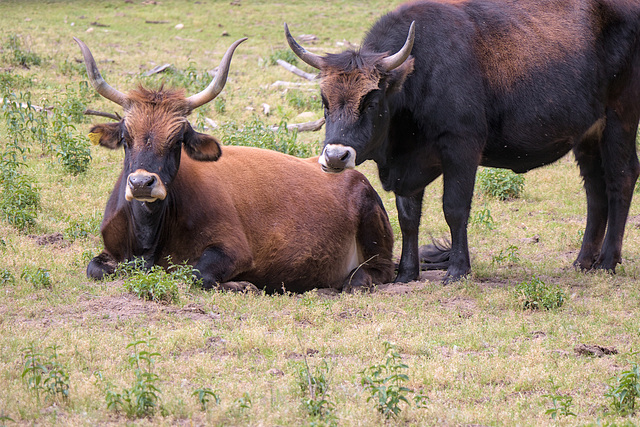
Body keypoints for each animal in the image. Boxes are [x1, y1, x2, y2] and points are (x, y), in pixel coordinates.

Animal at [75, 36, 396, 292]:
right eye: (126, 138)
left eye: (177, 140)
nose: (142, 183)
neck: (148, 237)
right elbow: (95, 269)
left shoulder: (233, 250)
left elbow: (195, 275)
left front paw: (243, 285)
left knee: (373, 273)